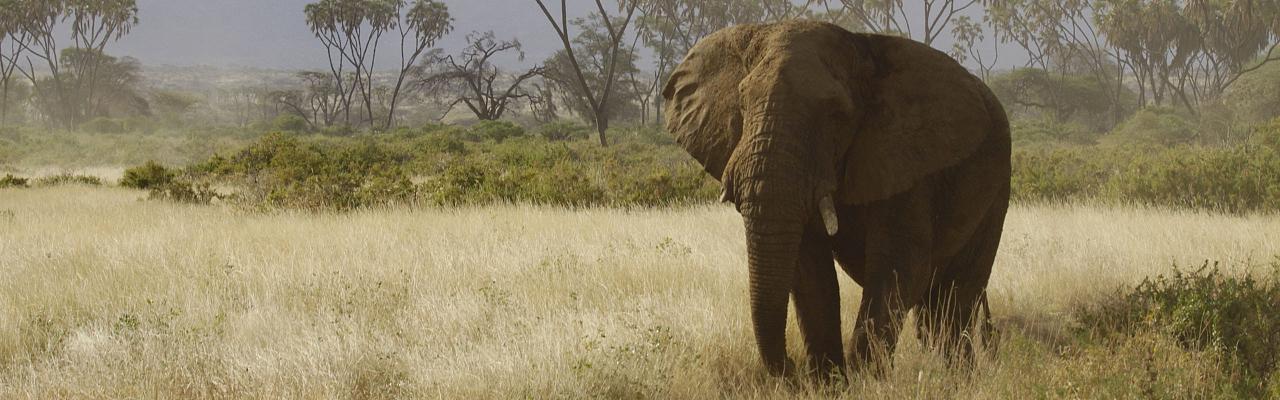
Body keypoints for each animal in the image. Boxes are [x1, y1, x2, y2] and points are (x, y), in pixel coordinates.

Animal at [660, 21, 1008, 376]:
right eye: (741, 103)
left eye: (836, 114)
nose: (791, 369)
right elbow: (810, 272)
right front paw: (831, 380)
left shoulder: (909, 163)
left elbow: (898, 267)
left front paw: (866, 379)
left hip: (996, 190)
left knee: (953, 303)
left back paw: (957, 378)